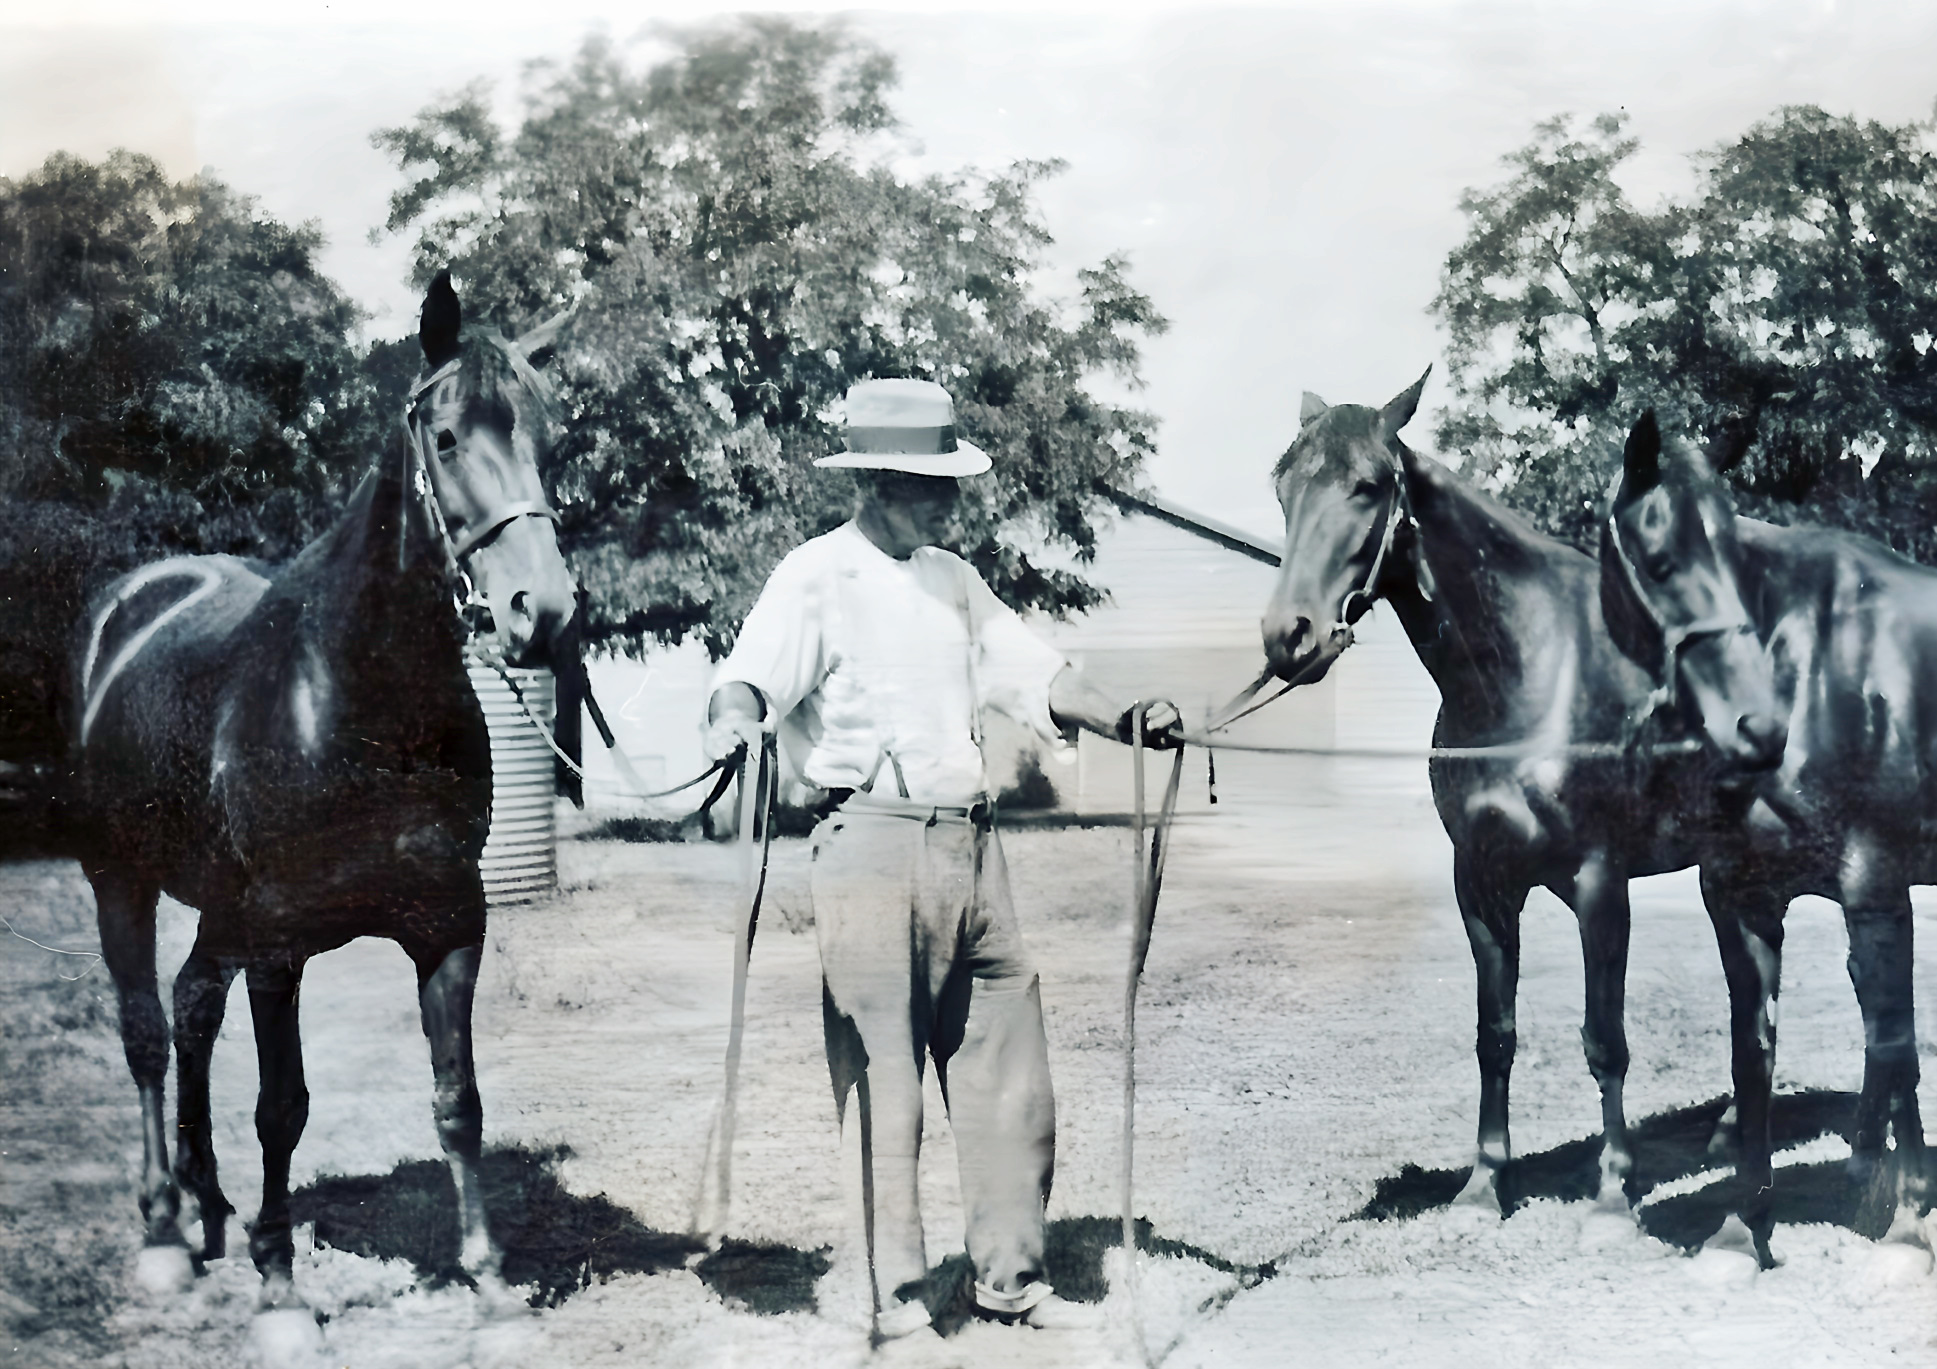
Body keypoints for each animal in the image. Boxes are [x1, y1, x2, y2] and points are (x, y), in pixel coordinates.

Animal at [75, 273, 573, 1308]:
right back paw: (164, 1227)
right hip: (120, 879)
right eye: (448, 437)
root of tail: (127, 608)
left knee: (190, 1007)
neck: (355, 689)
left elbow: (458, 1100)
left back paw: (210, 1205)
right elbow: (282, 1104)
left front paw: (486, 1274)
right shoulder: (278, 940)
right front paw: (279, 1279)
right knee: (146, 1033)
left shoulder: (448, 921)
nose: (538, 610)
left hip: (217, 903)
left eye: (550, 440)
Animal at [1255, 375, 1782, 1208]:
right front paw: (1483, 1181)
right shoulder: (1480, 880)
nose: (1288, 636)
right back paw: (1732, 1133)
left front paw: (1614, 1183)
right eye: (1281, 486)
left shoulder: (1599, 881)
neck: (1530, 670)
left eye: (1366, 485)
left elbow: (1604, 1038)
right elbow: (1493, 1033)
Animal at [1603, 418, 1937, 1262]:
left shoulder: (1875, 884)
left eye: (1737, 562)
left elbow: (1893, 1038)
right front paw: (1738, 1231)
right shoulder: (1737, 897)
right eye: (1659, 561)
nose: (1752, 726)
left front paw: (1907, 1225)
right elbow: (1751, 1054)